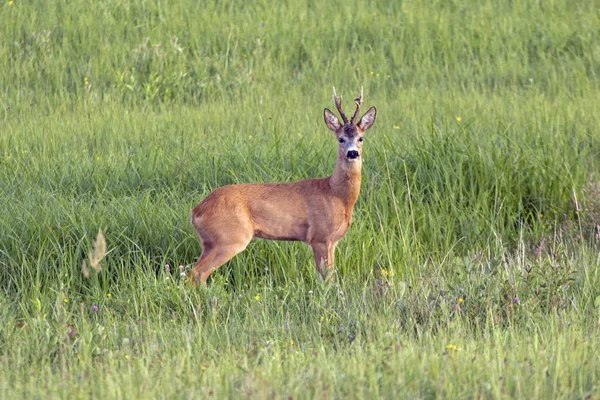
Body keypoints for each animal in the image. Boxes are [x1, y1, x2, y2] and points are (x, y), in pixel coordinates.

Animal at [190, 86, 376, 282]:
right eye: (340, 138)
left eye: (361, 138)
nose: (353, 153)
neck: (336, 194)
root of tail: (196, 211)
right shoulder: (319, 237)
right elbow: (326, 279)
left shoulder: (332, 241)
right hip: (230, 237)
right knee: (197, 272)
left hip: (209, 242)